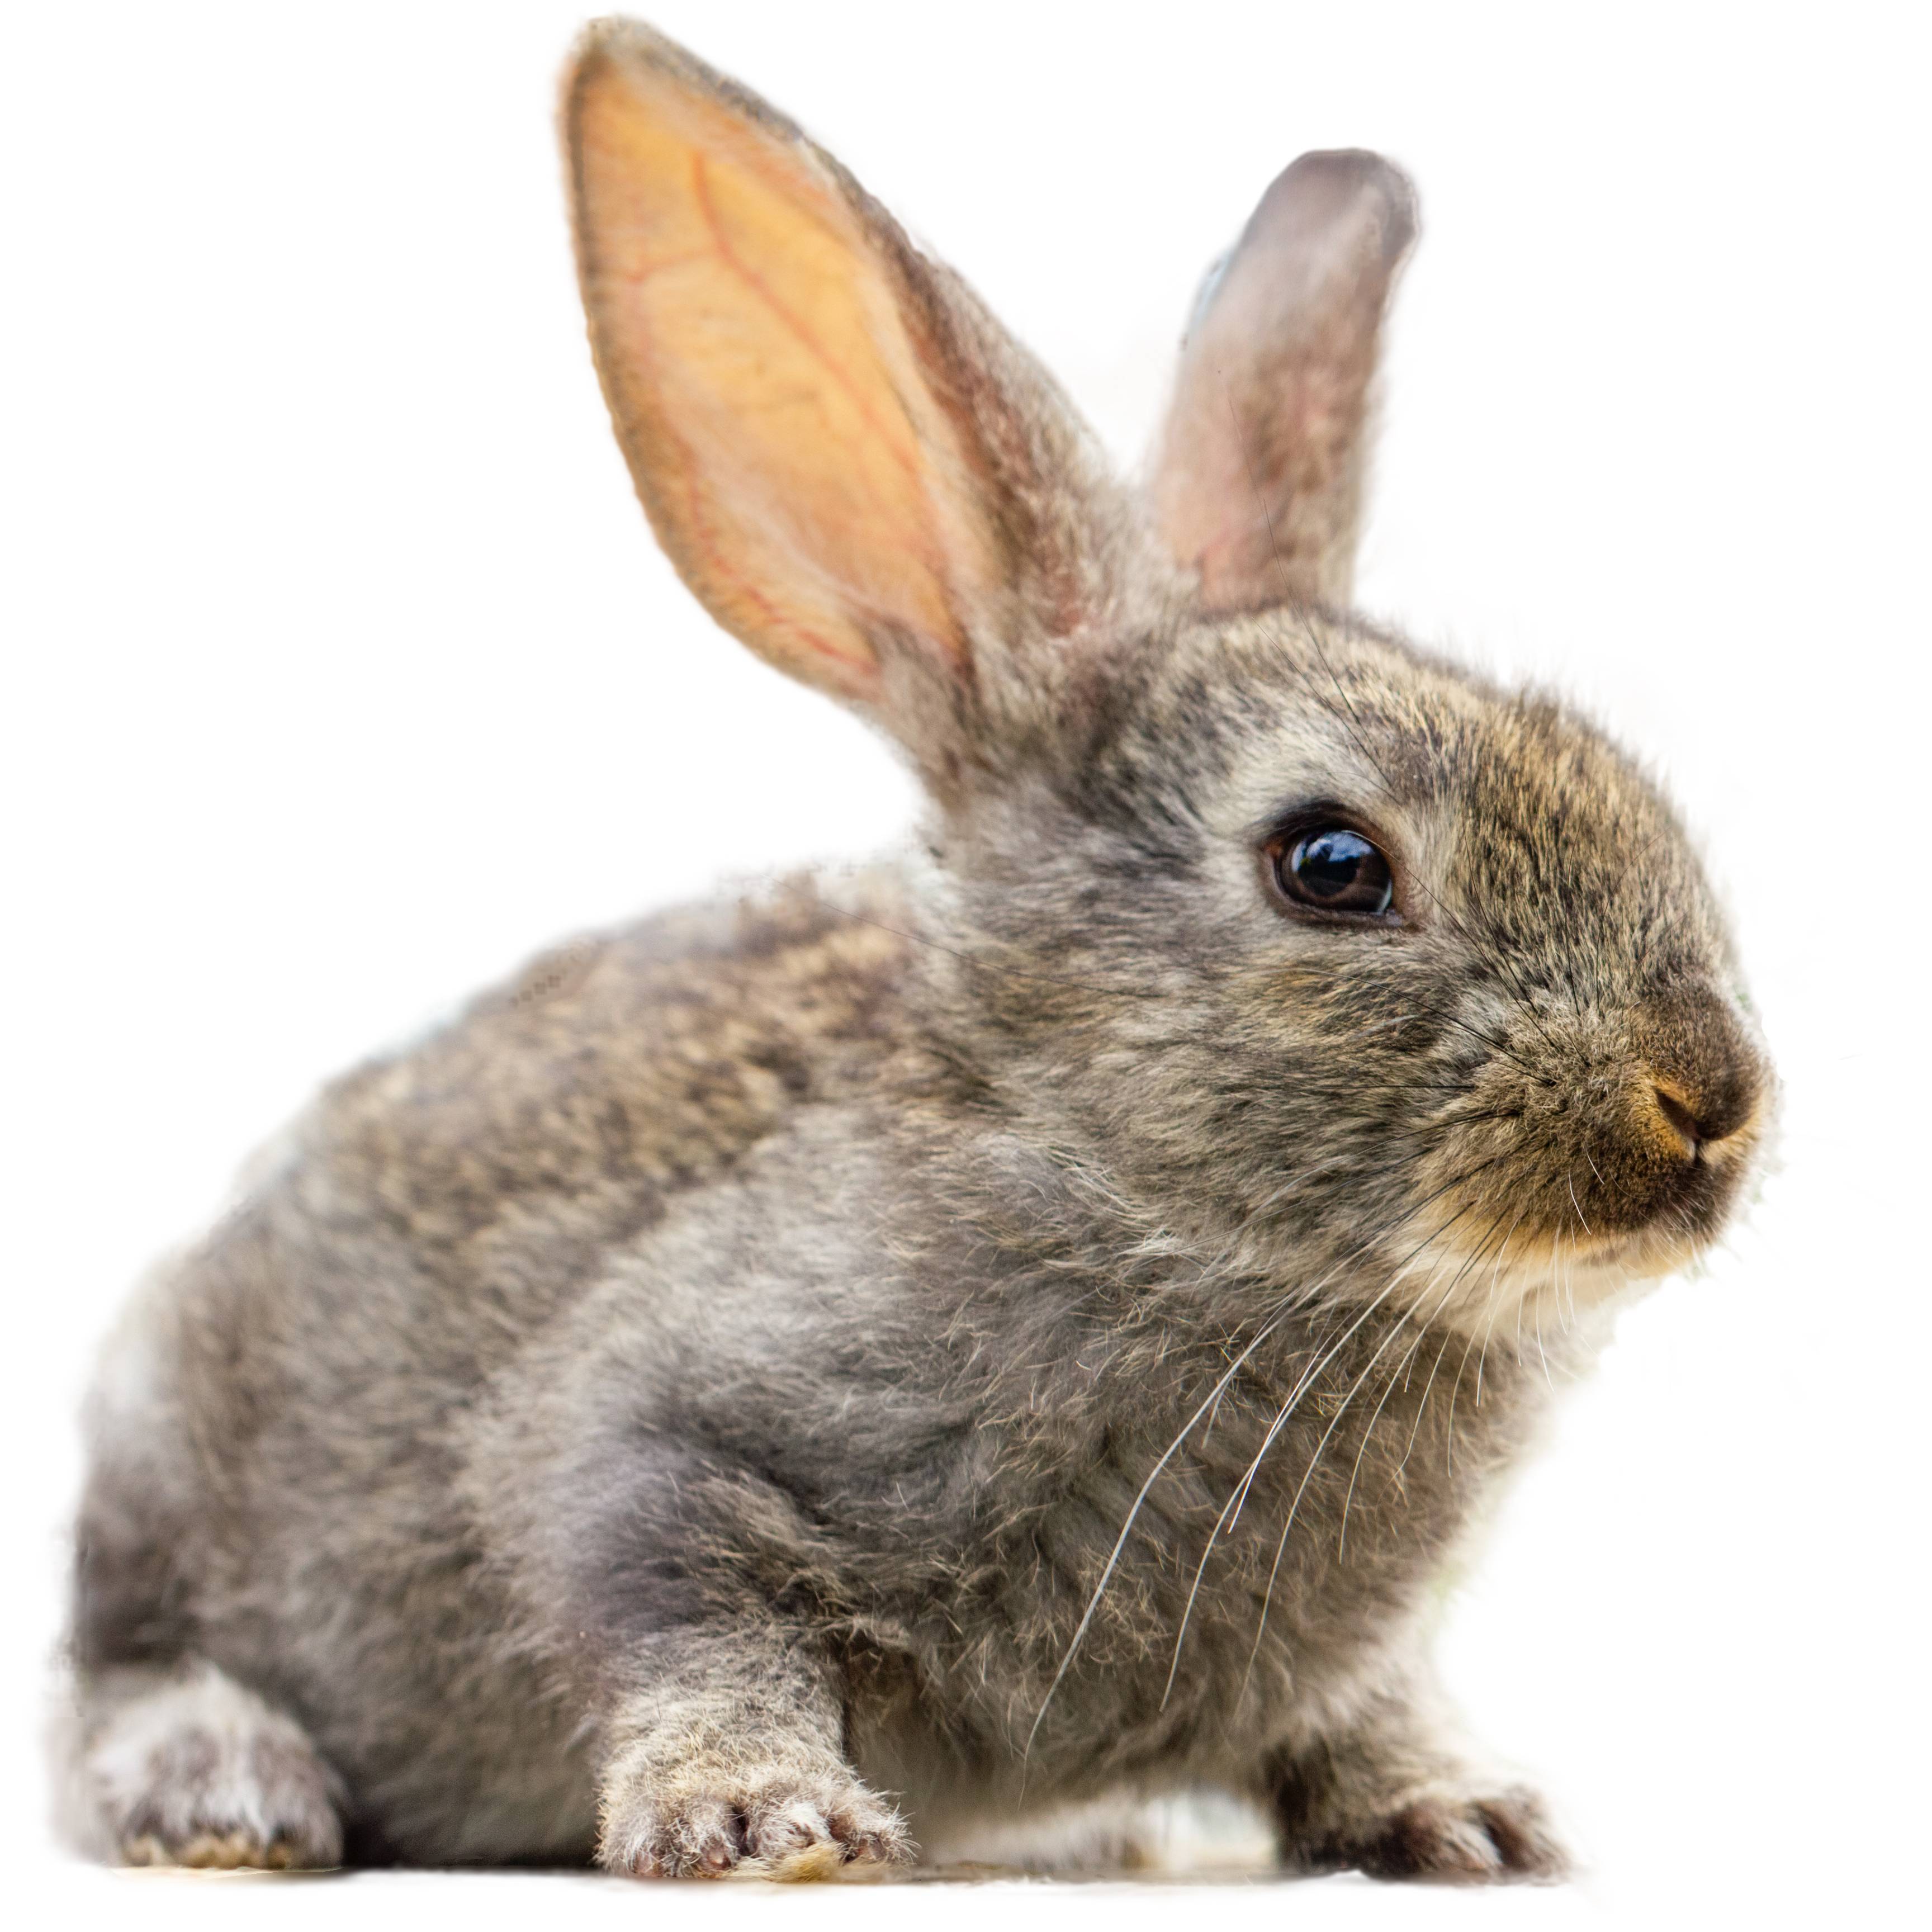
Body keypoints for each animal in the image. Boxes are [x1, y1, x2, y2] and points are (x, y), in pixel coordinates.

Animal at [60, 15, 1772, 1885]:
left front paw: (1471, 1817)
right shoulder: (648, 1443)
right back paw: (225, 1789)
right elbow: (683, 1612)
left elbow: (1363, 1709)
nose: (1714, 1097)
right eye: (1331, 866)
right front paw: (766, 1820)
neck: (1143, 1214)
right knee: (118, 1666)